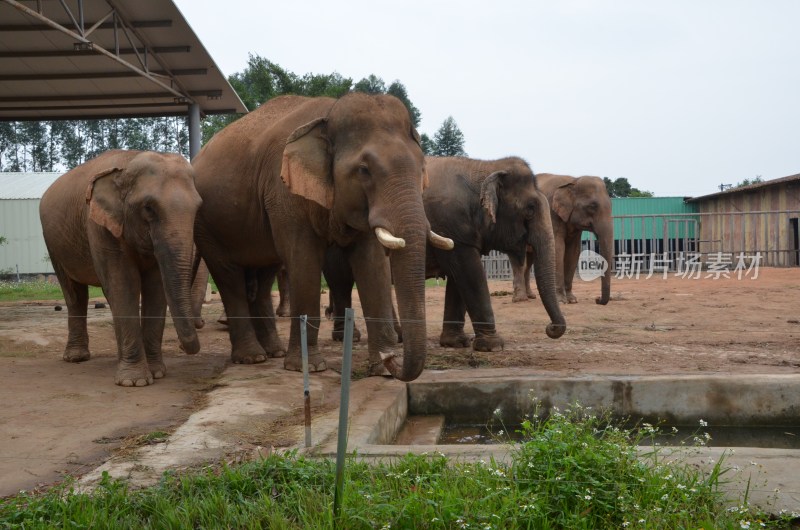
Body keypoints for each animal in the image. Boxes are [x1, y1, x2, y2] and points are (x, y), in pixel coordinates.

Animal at [40, 151, 203, 386]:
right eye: (148, 208)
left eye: (198, 208)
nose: (184, 346)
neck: (128, 162)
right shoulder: (99, 227)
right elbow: (125, 284)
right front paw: (135, 382)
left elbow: (155, 287)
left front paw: (157, 373)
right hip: (54, 244)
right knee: (74, 293)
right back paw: (76, 358)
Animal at [194, 92, 454, 380]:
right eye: (364, 169)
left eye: (422, 168)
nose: (391, 358)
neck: (328, 114)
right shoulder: (283, 192)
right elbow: (303, 258)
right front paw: (307, 368)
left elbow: (373, 264)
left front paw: (380, 369)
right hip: (207, 226)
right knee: (228, 276)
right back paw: (252, 358)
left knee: (264, 275)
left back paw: (272, 353)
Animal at [328, 156, 564, 350]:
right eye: (530, 209)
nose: (550, 328)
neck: (485, 165)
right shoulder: (450, 226)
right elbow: (470, 274)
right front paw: (493, 346)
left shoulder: (460, 235)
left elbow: (458, 278)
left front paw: (456, 342)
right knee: (341, 281)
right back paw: (350, 337)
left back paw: (397, 337)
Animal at [510, 173, 616, 304]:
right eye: (592, 206)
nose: (597, 299)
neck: (573, 181)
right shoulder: (551, 213)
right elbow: (558, 248)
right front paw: (561, 300)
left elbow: (573, 252)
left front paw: (572, 300)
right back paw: (520, 299)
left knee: (529, 261)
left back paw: (530, 296)